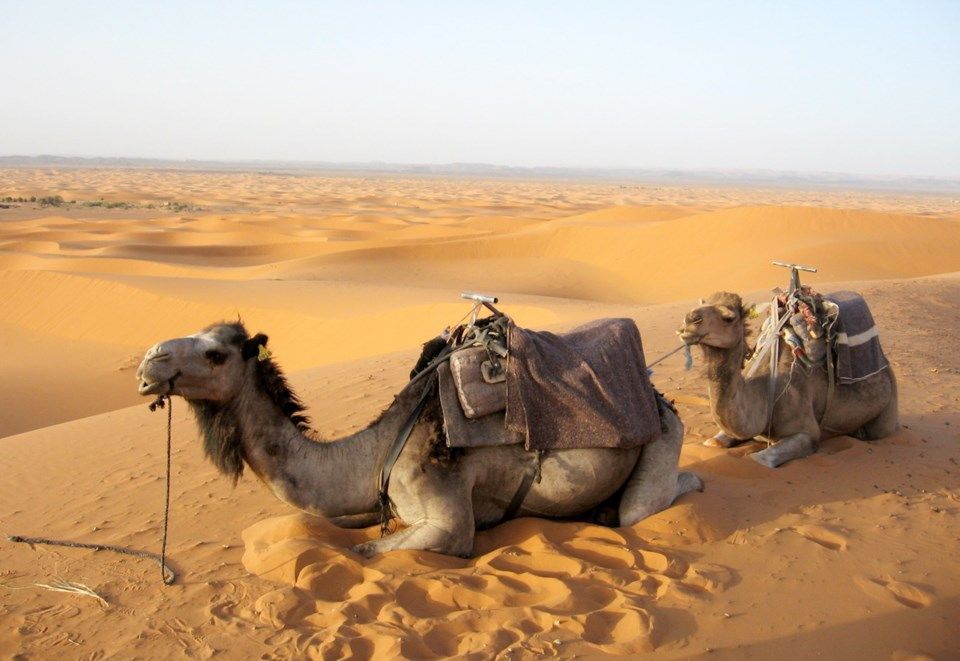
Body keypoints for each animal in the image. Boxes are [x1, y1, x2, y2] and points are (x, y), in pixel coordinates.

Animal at [136, 322, 702, 557]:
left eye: (216, 354)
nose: (149, 362)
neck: (374, 452)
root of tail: (656, 393)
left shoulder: (447, 516)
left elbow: (368, 551)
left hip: (663, 437)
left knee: (655, 499)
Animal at [679, 292, 898, 468]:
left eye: (728, 317)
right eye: (702, 303)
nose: (689, 320)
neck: (764, 392)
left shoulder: (806, 431)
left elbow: (759, 459)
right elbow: (713, 442)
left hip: (888, 406)